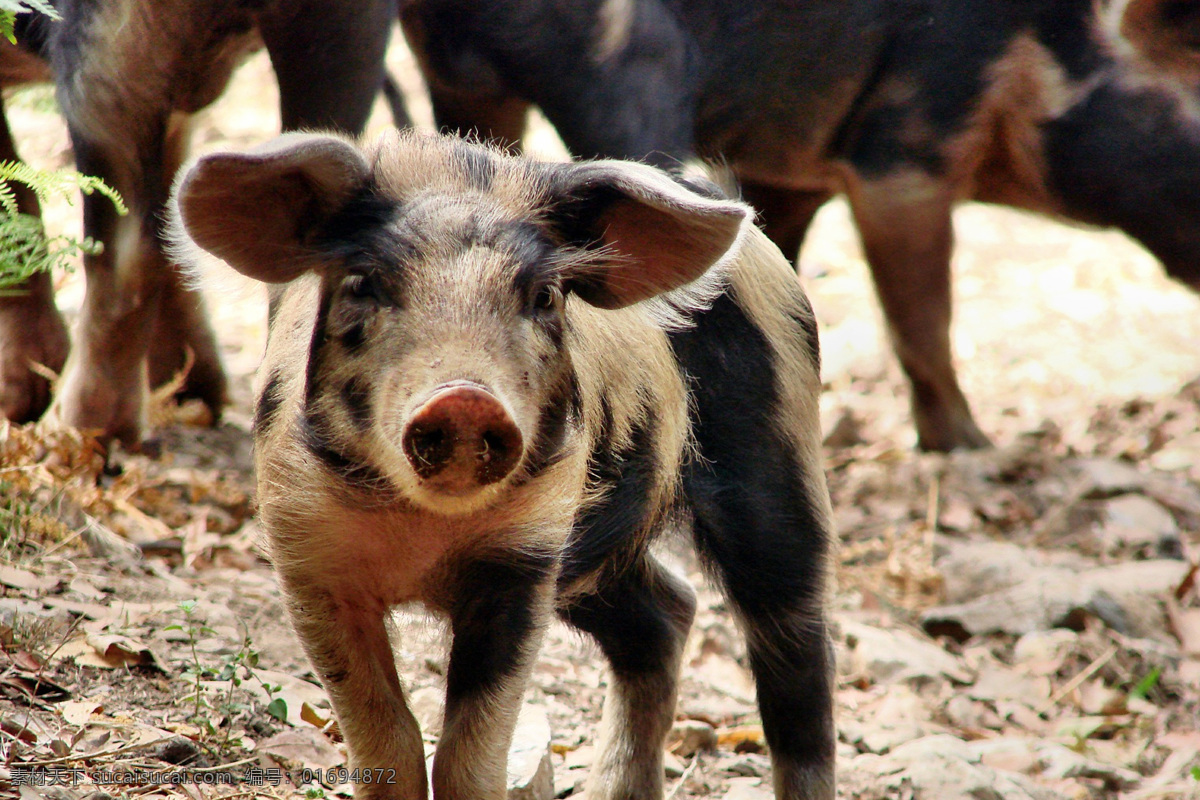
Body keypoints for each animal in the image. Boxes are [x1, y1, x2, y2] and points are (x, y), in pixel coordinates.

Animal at [169, 129, 836, 799]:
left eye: (543, 296)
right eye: (362, 284)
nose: (465, 397)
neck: (422, 537)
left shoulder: (525, 555)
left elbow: (470, 755)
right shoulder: (307, 554)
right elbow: (388, 739)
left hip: (778, 459)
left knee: (796, 662)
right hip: (597, 557)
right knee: (667, 615)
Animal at [399, 0, 1200, 451]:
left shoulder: (790, 177)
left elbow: (779, 268)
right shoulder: (904, 152)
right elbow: (923, 320)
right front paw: (976, 449)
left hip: (459, 81)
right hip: (633, 77)